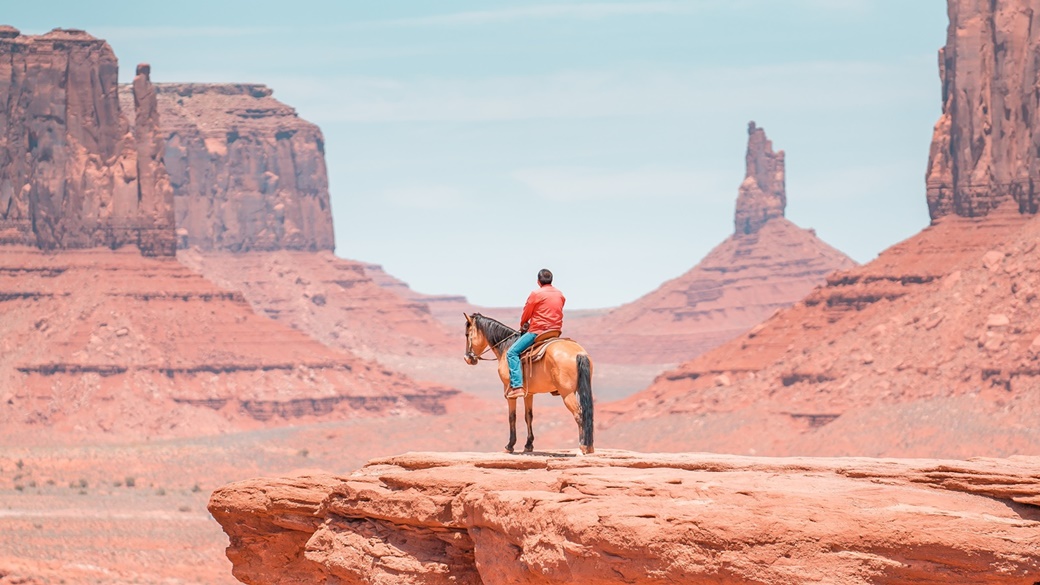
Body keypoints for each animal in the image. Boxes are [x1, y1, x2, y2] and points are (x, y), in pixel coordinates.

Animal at [463, 312, 594, 453]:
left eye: (467, 334)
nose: (467, 358)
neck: (506, 347)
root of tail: (579, 353)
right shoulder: (529, 393)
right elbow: (528, 416)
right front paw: (528, 445)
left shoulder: (509, 392)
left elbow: (512, 417)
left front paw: (510, 445)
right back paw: (590, 446)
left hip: (567, 393)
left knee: (579, 414)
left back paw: (583, 446)